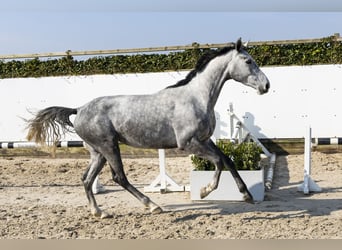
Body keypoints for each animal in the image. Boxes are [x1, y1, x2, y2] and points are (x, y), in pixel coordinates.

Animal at [26, 38, 270, 218]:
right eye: (248, 61)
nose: (266, 85)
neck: (196, 98)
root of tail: (79, 109)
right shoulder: (188, 144)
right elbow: (218, 161)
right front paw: (204, 191)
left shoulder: (204, 140)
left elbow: (228, 160)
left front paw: (247, 195)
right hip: (109, 146)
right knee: (119, 178)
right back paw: (152, 205)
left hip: (98, 152)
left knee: (86, 179)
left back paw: (99, 212)